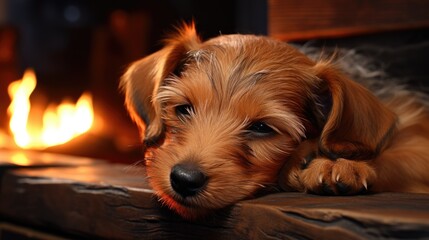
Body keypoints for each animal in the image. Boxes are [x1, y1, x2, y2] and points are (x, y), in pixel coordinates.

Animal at [119, 23, 428, 218]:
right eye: (184, 109)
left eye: (261, 128)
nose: (184, 179)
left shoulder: (417, 139)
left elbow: (395, 157)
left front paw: (337, 163)